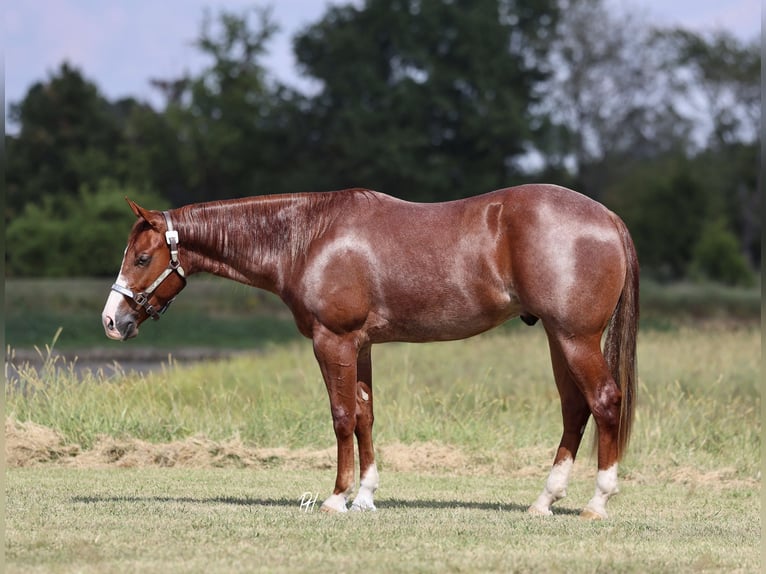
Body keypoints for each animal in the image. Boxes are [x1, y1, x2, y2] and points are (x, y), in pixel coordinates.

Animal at [101, 184, 638, 519]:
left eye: (142, 258)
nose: (111, 321)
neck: (309, 237)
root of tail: (608, 217)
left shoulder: (332, 340)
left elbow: (341, 416)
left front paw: (337, 498)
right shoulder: (359, 347)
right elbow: (364, 415)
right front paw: (365, 496)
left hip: (575, 338)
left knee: (604, 401)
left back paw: (597, 502)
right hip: (558, 339)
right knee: (575, 410)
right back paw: (544, 500)